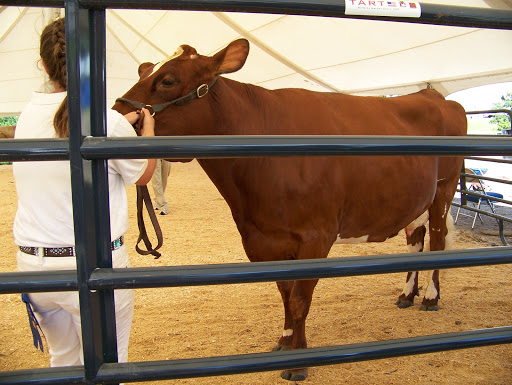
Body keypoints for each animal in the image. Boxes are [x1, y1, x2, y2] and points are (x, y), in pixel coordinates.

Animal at [115, 39, 468, 380]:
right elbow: (284, 293)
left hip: (444, 190)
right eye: (142, 70)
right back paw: (407, 295)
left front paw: (298, 363)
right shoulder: (265, 239)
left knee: (437, 242)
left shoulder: (316, 237)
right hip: (415, 200)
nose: (116, 115)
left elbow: (299, 300)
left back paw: (430, 298)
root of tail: (433, 95)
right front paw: (284, 344)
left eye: (168, 80)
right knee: (415, 243)